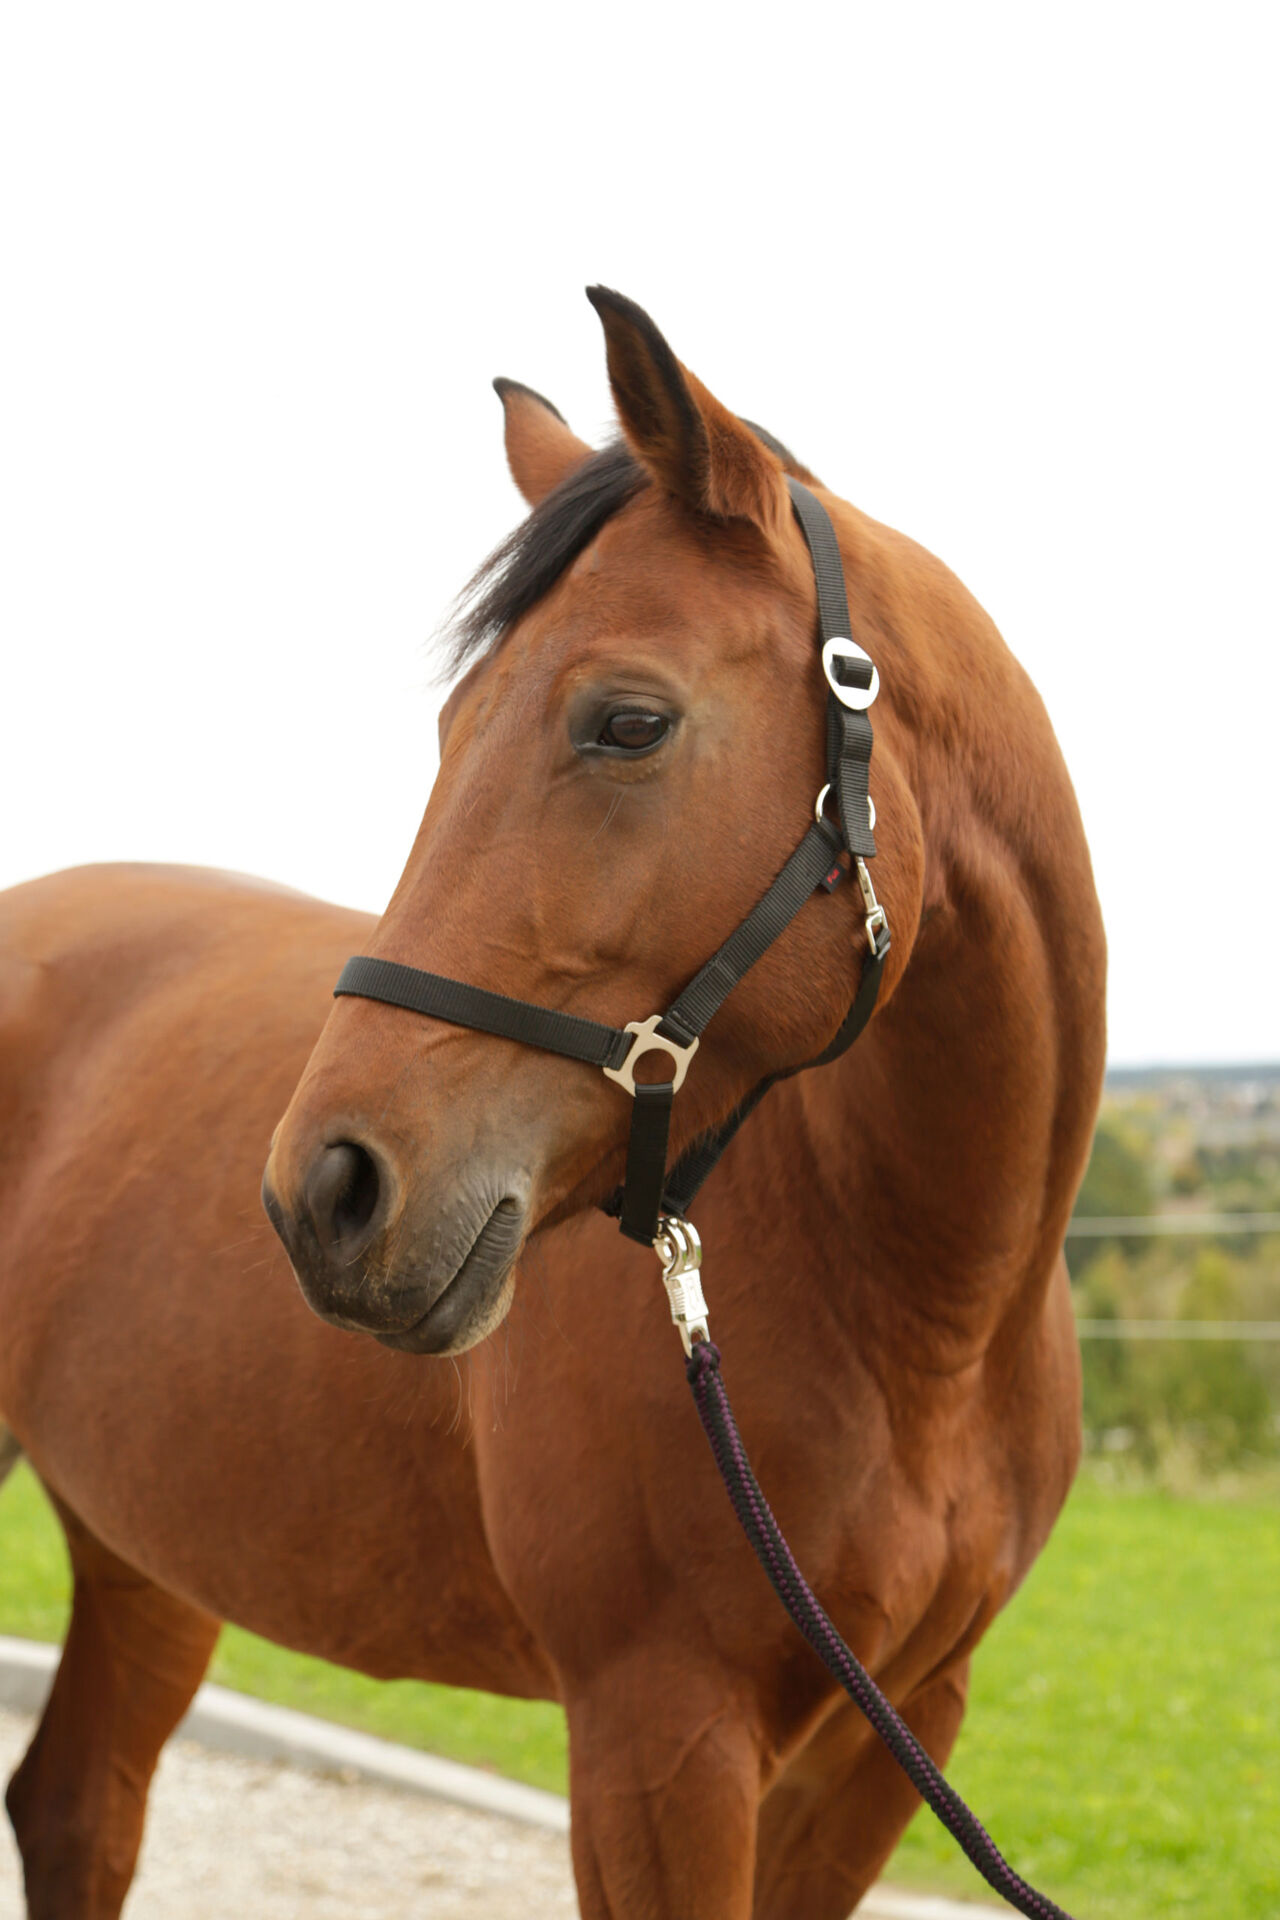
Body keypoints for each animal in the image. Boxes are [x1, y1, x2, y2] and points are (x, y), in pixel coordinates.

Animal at [0, 287, 1105, 1920]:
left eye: (627, 723)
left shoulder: (881, 1750)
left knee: (81, 1805)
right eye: (451, 726)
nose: (326, 1193)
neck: (927, 1324)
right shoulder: (660, 1740)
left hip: (145, 1548)